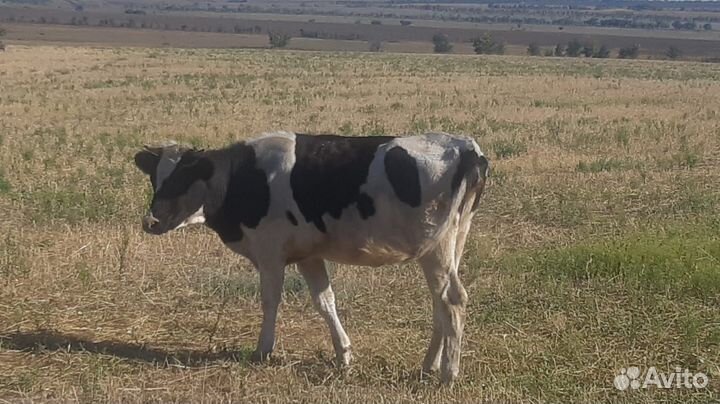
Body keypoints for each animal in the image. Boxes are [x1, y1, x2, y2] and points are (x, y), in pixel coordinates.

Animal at [134, 131, 489, 385]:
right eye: (155, 179)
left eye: (181, 179)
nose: (151, 222)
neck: (245, 177)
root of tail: (466, 147)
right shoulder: (308, 255)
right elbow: (325, 301)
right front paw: (343, 354)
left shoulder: (270, 252)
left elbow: (270, 300)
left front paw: (263, 349)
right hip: (452, 242)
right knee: (440, 303)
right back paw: (430, 365)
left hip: (436, 248)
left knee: (452, 299)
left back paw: (448, 374)